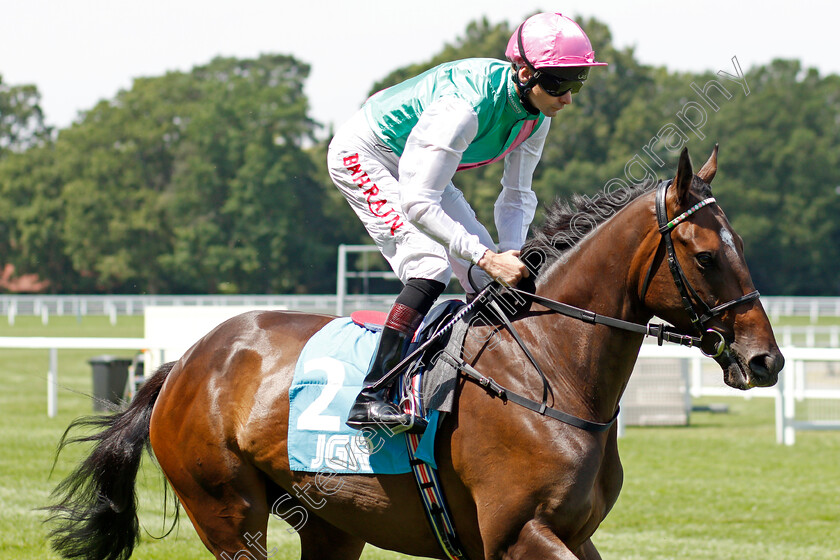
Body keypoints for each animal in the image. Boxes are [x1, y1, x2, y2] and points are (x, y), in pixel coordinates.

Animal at [46, 147, 780, 556]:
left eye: (742, 244)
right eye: (707, 256)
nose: (765, 360)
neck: (551, 371)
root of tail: (187, 361)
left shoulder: (571, 534)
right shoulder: (519, 533)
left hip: (330, 525)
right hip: (228, 514)